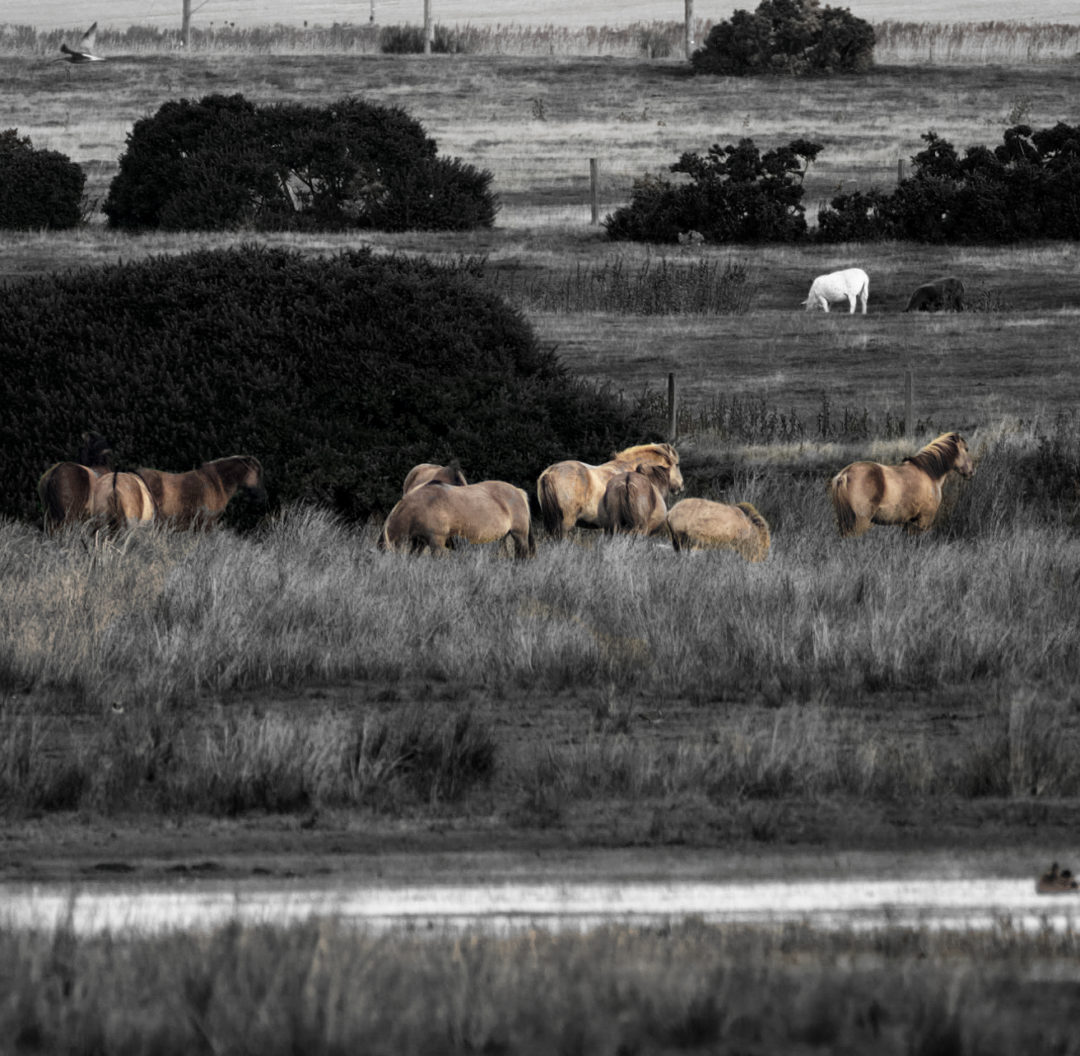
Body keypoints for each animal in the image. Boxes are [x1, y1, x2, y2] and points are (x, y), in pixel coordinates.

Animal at [825, 431, 980, 539]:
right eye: (966, 449)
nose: (972, 471)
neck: (929, 472)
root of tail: (844, 475)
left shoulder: (909, 522)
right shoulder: (924, 520)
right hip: (860, 522)